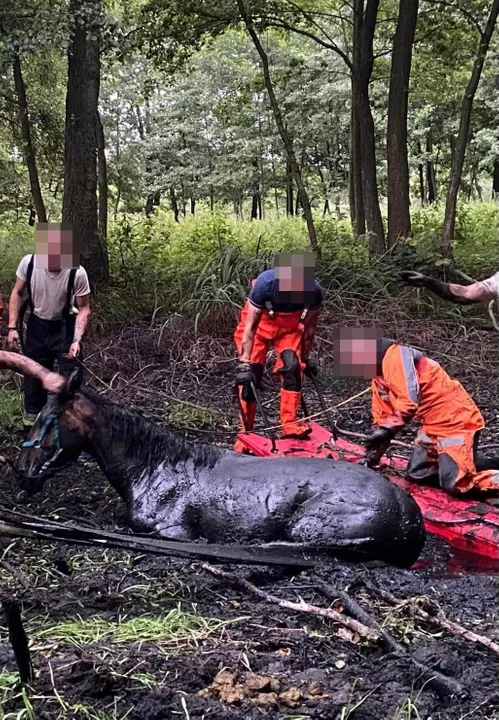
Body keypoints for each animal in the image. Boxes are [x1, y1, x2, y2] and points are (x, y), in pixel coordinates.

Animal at [14, 372, 426, 568]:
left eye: (46, 419)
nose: (21, 471)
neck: (154, 466)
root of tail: (411, 519)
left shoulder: (172, 530)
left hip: (308, 527)